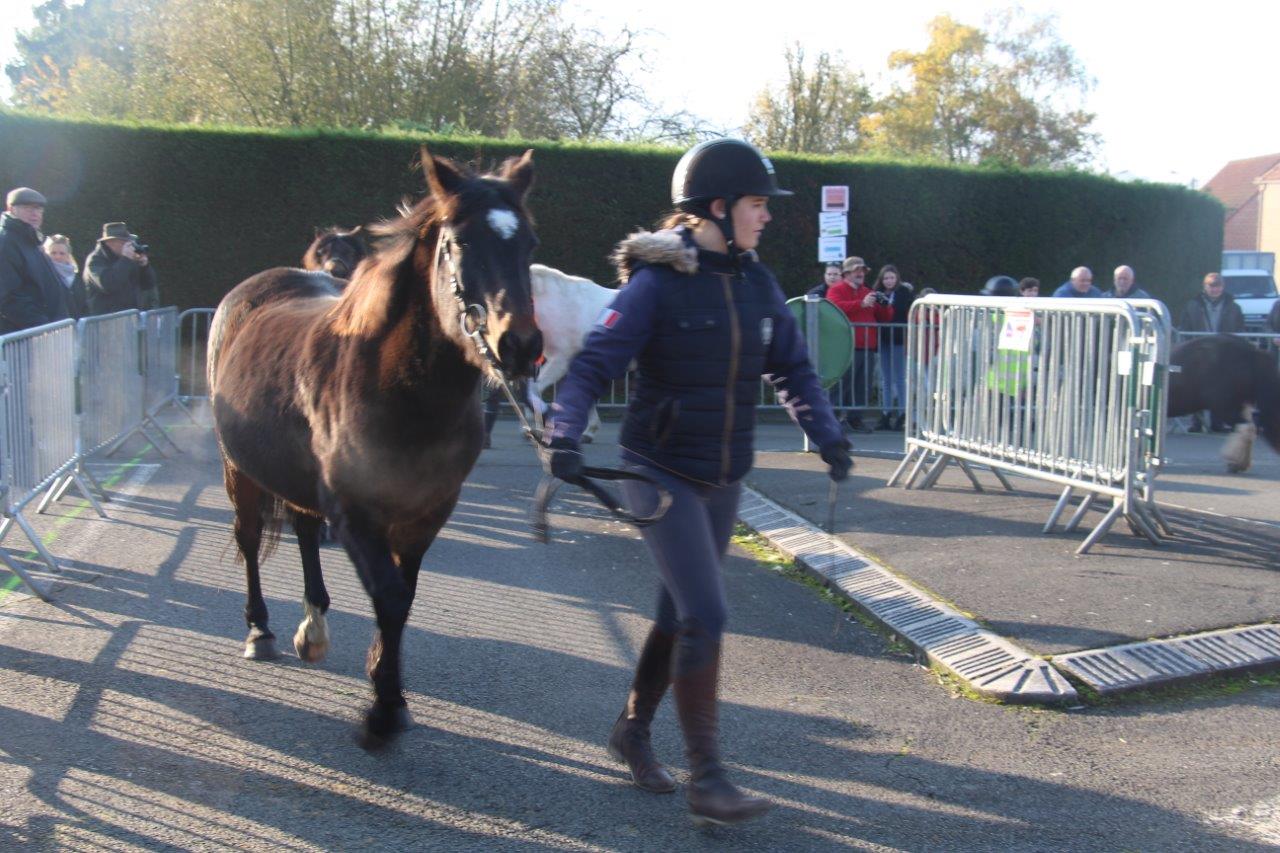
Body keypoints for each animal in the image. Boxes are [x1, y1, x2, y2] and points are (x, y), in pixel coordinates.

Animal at [206, 151, 545, 742]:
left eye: (529, 243)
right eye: (460, 242)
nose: (519, 345)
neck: (401, 392)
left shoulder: (426, 513)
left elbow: (402, 597)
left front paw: (389, 687)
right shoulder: (356, 511)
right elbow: (387, 595)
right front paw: (383, 709)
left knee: (304, 530)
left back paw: (313, 628)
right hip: (239, 470)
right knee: (249, 538)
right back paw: (260, 631)